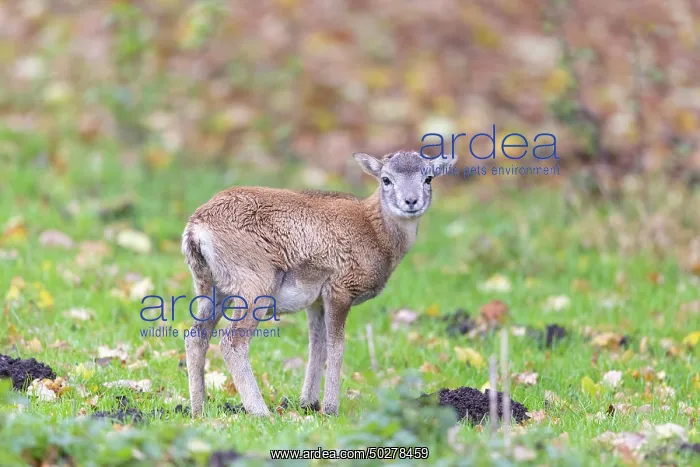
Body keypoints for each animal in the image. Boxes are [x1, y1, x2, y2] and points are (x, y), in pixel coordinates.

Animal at [181, 149, 457, 417]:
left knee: (196, 336)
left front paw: (309, 404)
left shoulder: (316, 301)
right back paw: (260, 412)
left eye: (428, 178)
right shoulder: (340, 290)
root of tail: (196, 228)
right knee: (232, 342)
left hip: (213, 290)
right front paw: (331, 409)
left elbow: (317, 345)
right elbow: (337, 347)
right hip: (254, 289)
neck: (375, 231)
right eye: (386, 179)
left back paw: (199, 410)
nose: (411, 201)